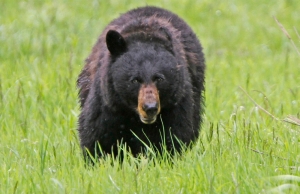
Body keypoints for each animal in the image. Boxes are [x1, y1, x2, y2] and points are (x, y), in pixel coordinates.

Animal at [76, 6, 205, 161]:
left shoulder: (176, 102)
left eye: (159, 78)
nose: (150, 108)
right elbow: (97, 135)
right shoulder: (108, 102)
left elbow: (173, 136)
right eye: (135, 80)